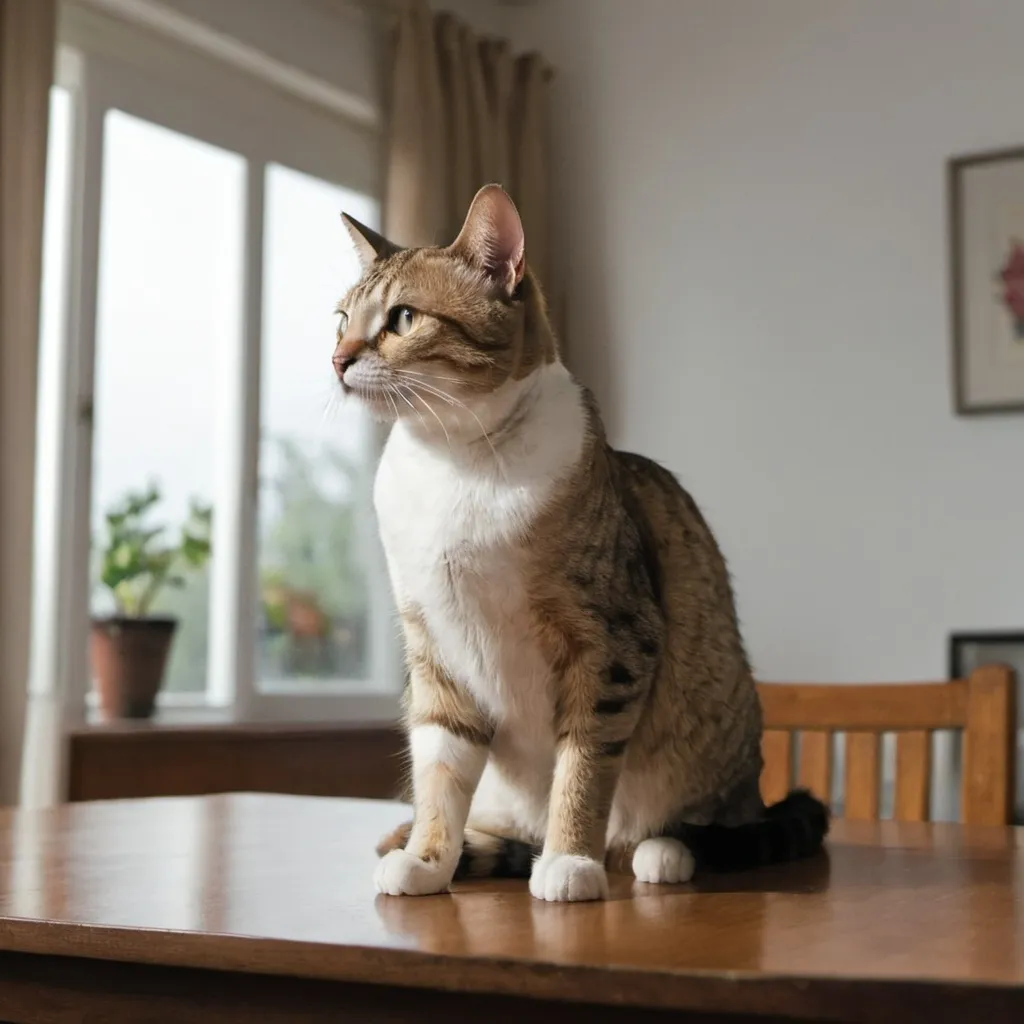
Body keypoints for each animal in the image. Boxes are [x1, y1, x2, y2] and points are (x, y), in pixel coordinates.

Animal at [331, 186, 827, 905]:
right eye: (341, 319)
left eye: (402, 318)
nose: (338, 360)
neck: (454, 463)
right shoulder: (434, 648)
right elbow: (439, 774)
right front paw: (426, 860)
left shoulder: (613, 638)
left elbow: (585, 763)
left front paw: (569, 860)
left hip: (713, 752)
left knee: (699, 827)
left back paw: (657, 852)